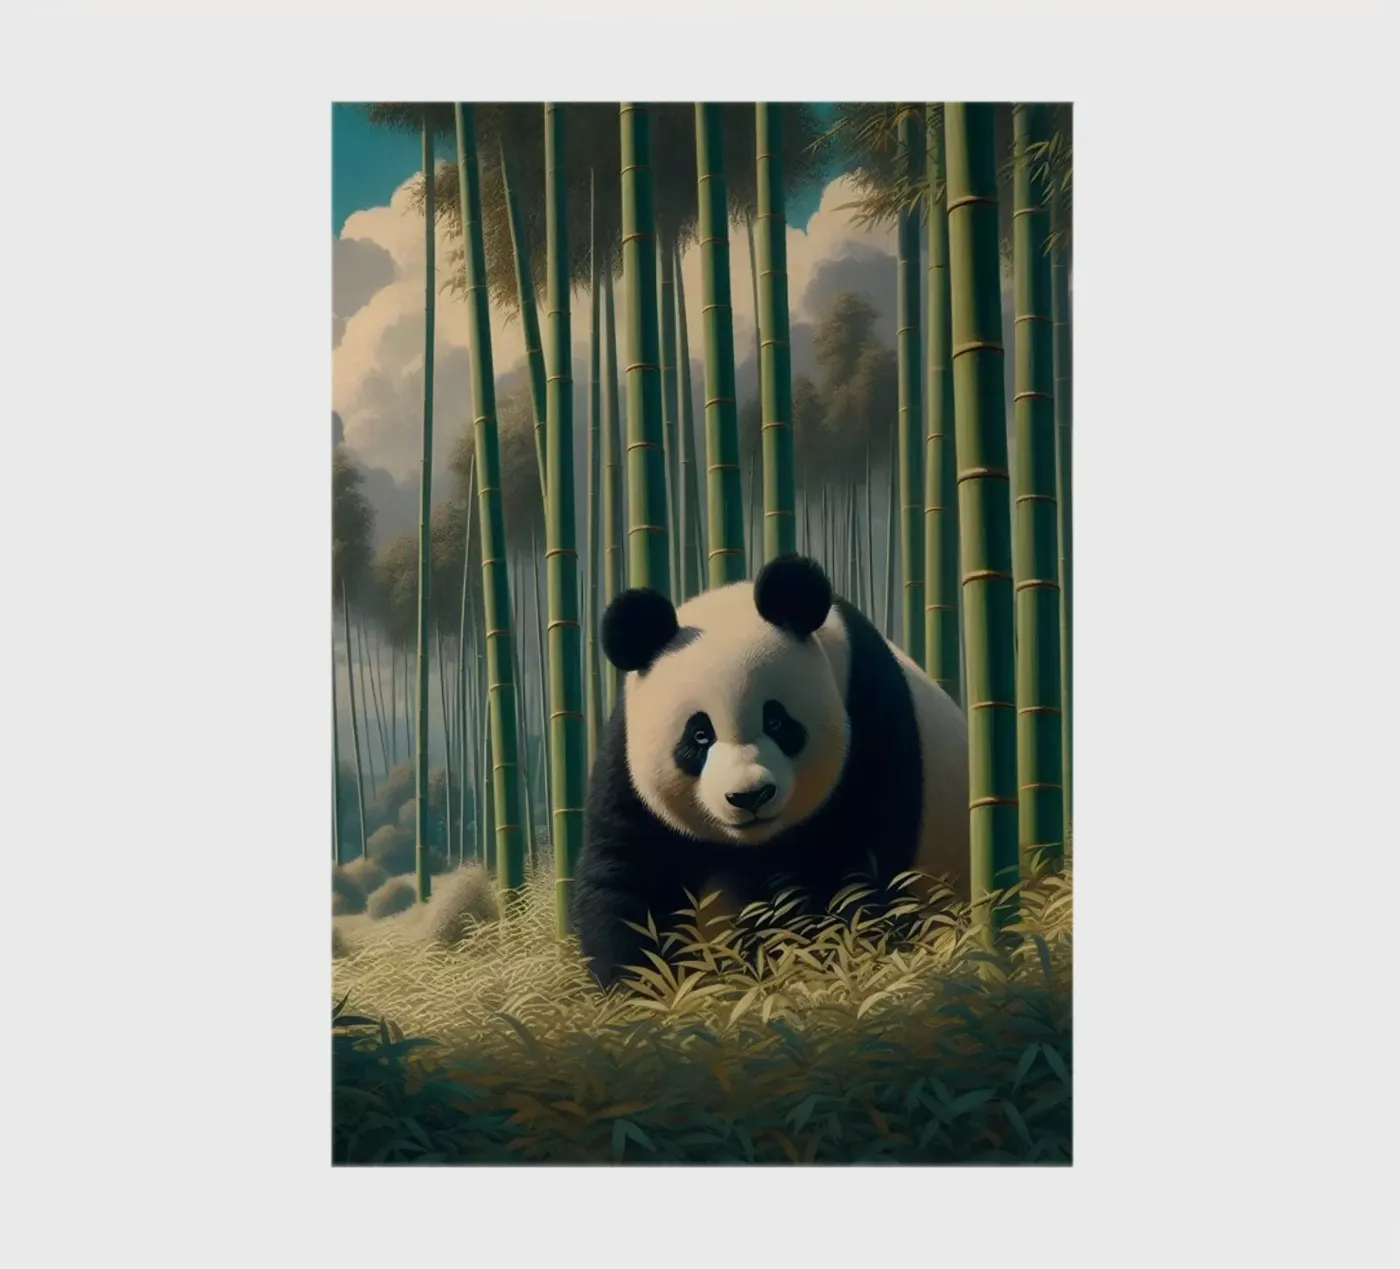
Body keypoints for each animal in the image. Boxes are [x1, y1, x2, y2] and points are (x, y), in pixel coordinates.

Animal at [572, 553, 969, 989]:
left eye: (777, 721)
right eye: (699, 736)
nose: (749, 796)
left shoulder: (869, 716)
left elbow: (850, 868)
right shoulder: (627, 761)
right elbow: (629, 870)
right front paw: (644, 985)